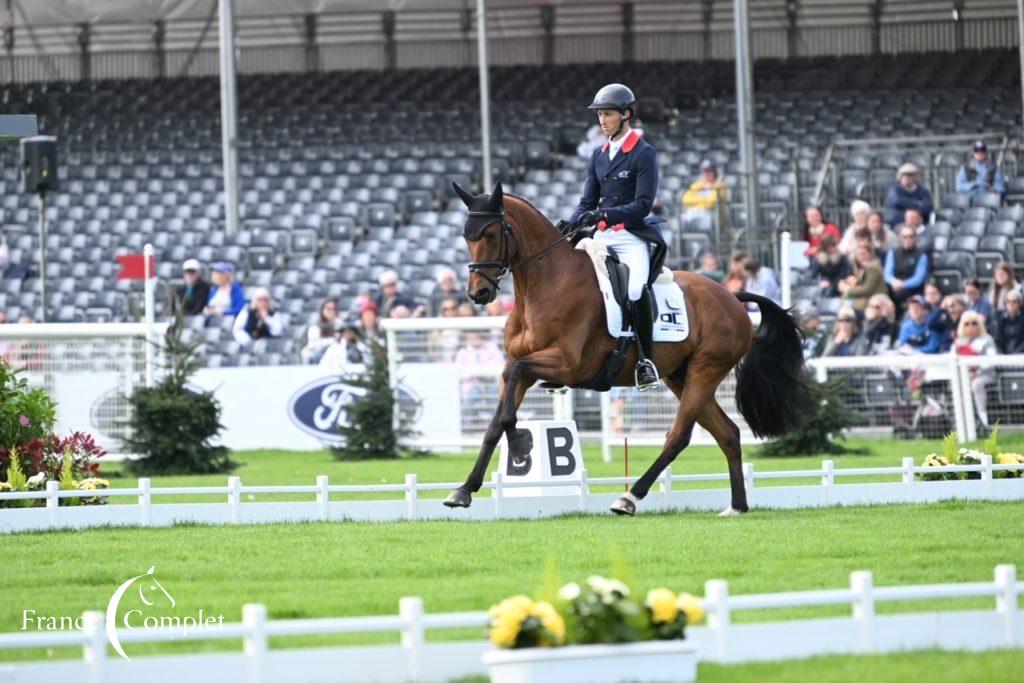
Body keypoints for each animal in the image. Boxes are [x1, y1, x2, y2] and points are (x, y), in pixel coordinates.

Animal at [444, 184, 811, 516]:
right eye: (466, 236)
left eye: (492, 234)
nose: (478, 293)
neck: (544, 284)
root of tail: (732, 297)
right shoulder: (527, 365)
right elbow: (496, 419)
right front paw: (465, 489)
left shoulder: (565, 364)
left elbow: (512, 381)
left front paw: (521, 445)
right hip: (681, 376)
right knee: (729, 433)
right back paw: (737, 506)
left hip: (706, 370)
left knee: (679, 435)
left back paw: (629, 497)